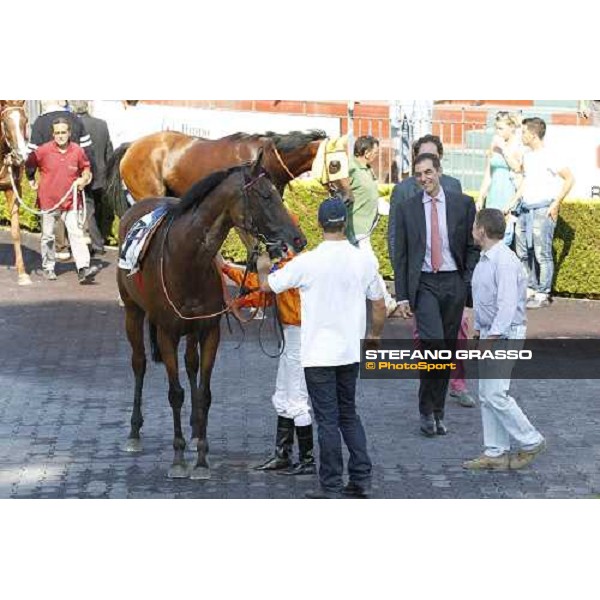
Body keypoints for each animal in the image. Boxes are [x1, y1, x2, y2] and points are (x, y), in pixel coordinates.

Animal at [118, 148, 308, 480]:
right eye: (265, 196)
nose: (298, 239)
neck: (186, 260)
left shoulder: (209, 331)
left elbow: (204, 392)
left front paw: (202, 458)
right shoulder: (167, 333)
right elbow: (175, 393)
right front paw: (178, 459)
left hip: (191, 330)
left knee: (191, 365)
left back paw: (195, 431)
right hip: (133, 311)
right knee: (139, 363)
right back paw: (134, 432)